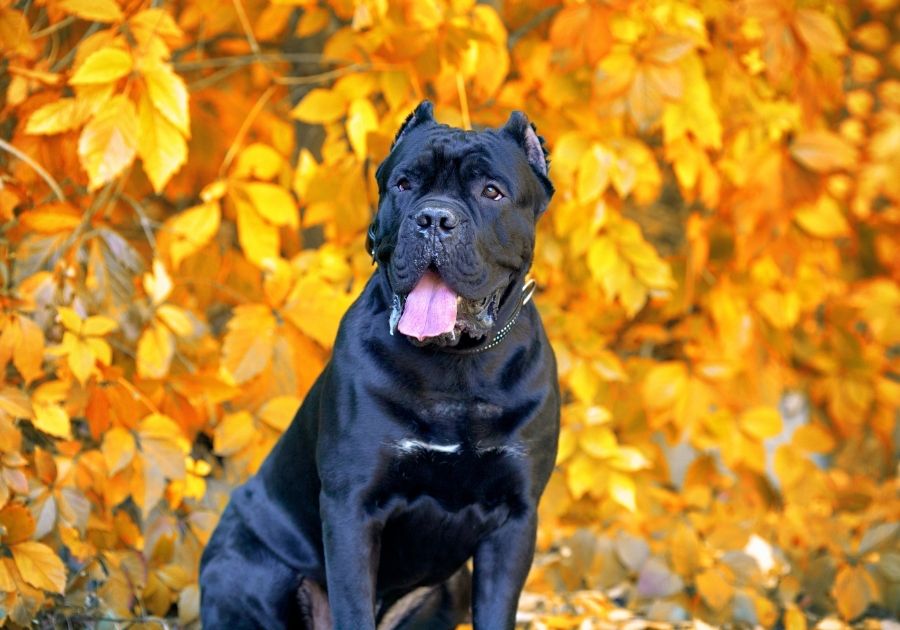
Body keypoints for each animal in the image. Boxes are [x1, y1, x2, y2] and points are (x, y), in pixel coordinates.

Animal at [200, 101, 560, 628]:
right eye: (404, 183)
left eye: (491, 191)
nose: (434, 218)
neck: (456, 368)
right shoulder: (353, 505)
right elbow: (353, 608)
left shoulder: (515, 518)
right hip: (244, 570)